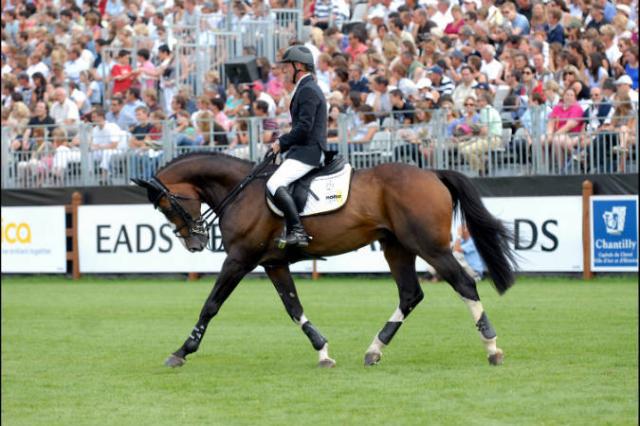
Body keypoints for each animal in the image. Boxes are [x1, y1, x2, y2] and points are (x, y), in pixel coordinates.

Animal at [132, 151, 516, 368]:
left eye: (167, 206)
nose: (195, 242)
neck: (242, 191)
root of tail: (433, 173)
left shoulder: (240, 259)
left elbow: (211, 305)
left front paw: (182, 351)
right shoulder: (273, 263)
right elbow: (293, 308)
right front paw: (323, 351)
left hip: (430, 247)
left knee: (464, 283)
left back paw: (492, 347)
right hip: (397, 247)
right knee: (410, 294)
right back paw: (374, 349)